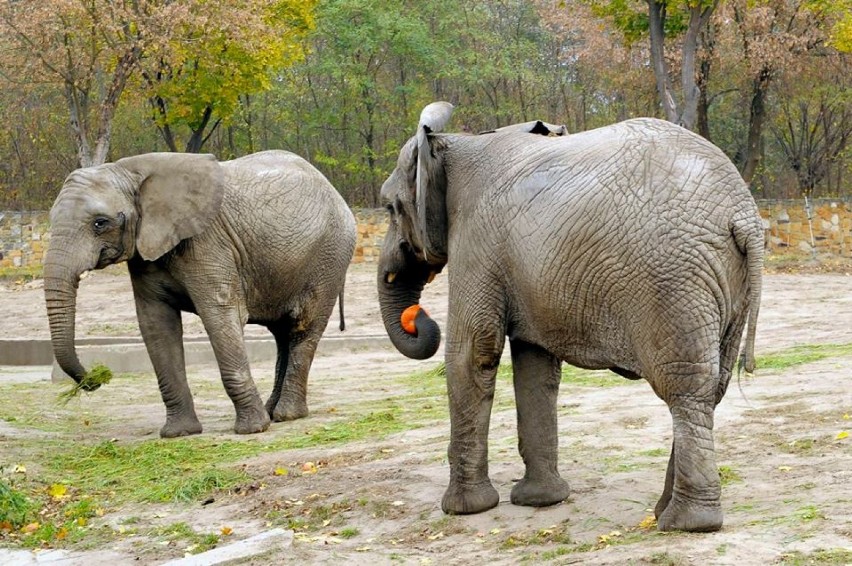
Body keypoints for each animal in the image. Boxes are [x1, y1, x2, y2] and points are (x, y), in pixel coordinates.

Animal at [44, 150, 356, 440]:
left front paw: (252, 430)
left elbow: (220, 315)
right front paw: (179, 433)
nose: (94, 380)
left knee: (303, 327)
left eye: (100, 223)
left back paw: (287, 415)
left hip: (329, 257)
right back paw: (274, 411)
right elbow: (156, 325)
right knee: (283, 334)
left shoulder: (208, 243)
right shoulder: (146, 253)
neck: (129, 170)